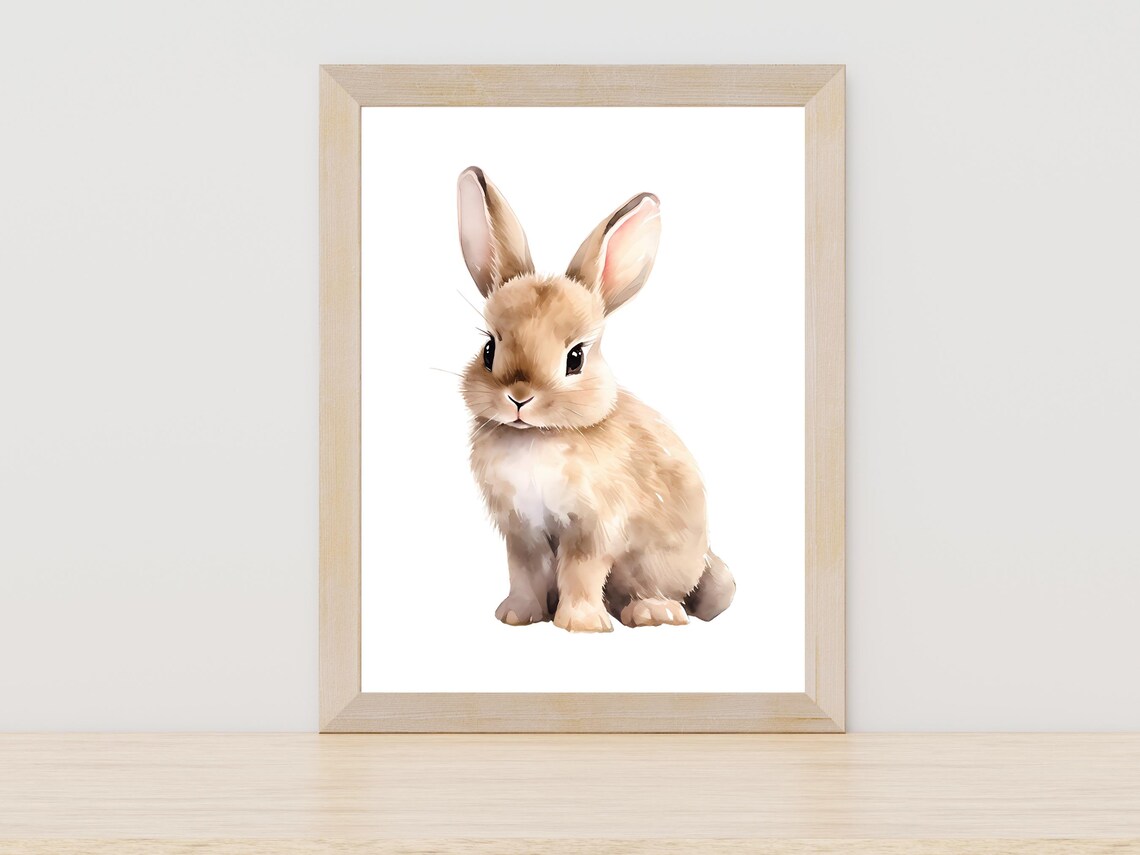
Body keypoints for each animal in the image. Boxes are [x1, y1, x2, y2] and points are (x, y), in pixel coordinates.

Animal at [456, 166, 735, 633]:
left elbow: (581, 569)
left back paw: (652, 612)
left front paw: (581, 624)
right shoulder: (521, 530)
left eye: (576, 357)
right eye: (489, 349)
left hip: (656, 563)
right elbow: (525, 571)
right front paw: (516, 615)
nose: (519, 397)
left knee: (656, 593)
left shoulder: (593, 525)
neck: (538, 436)